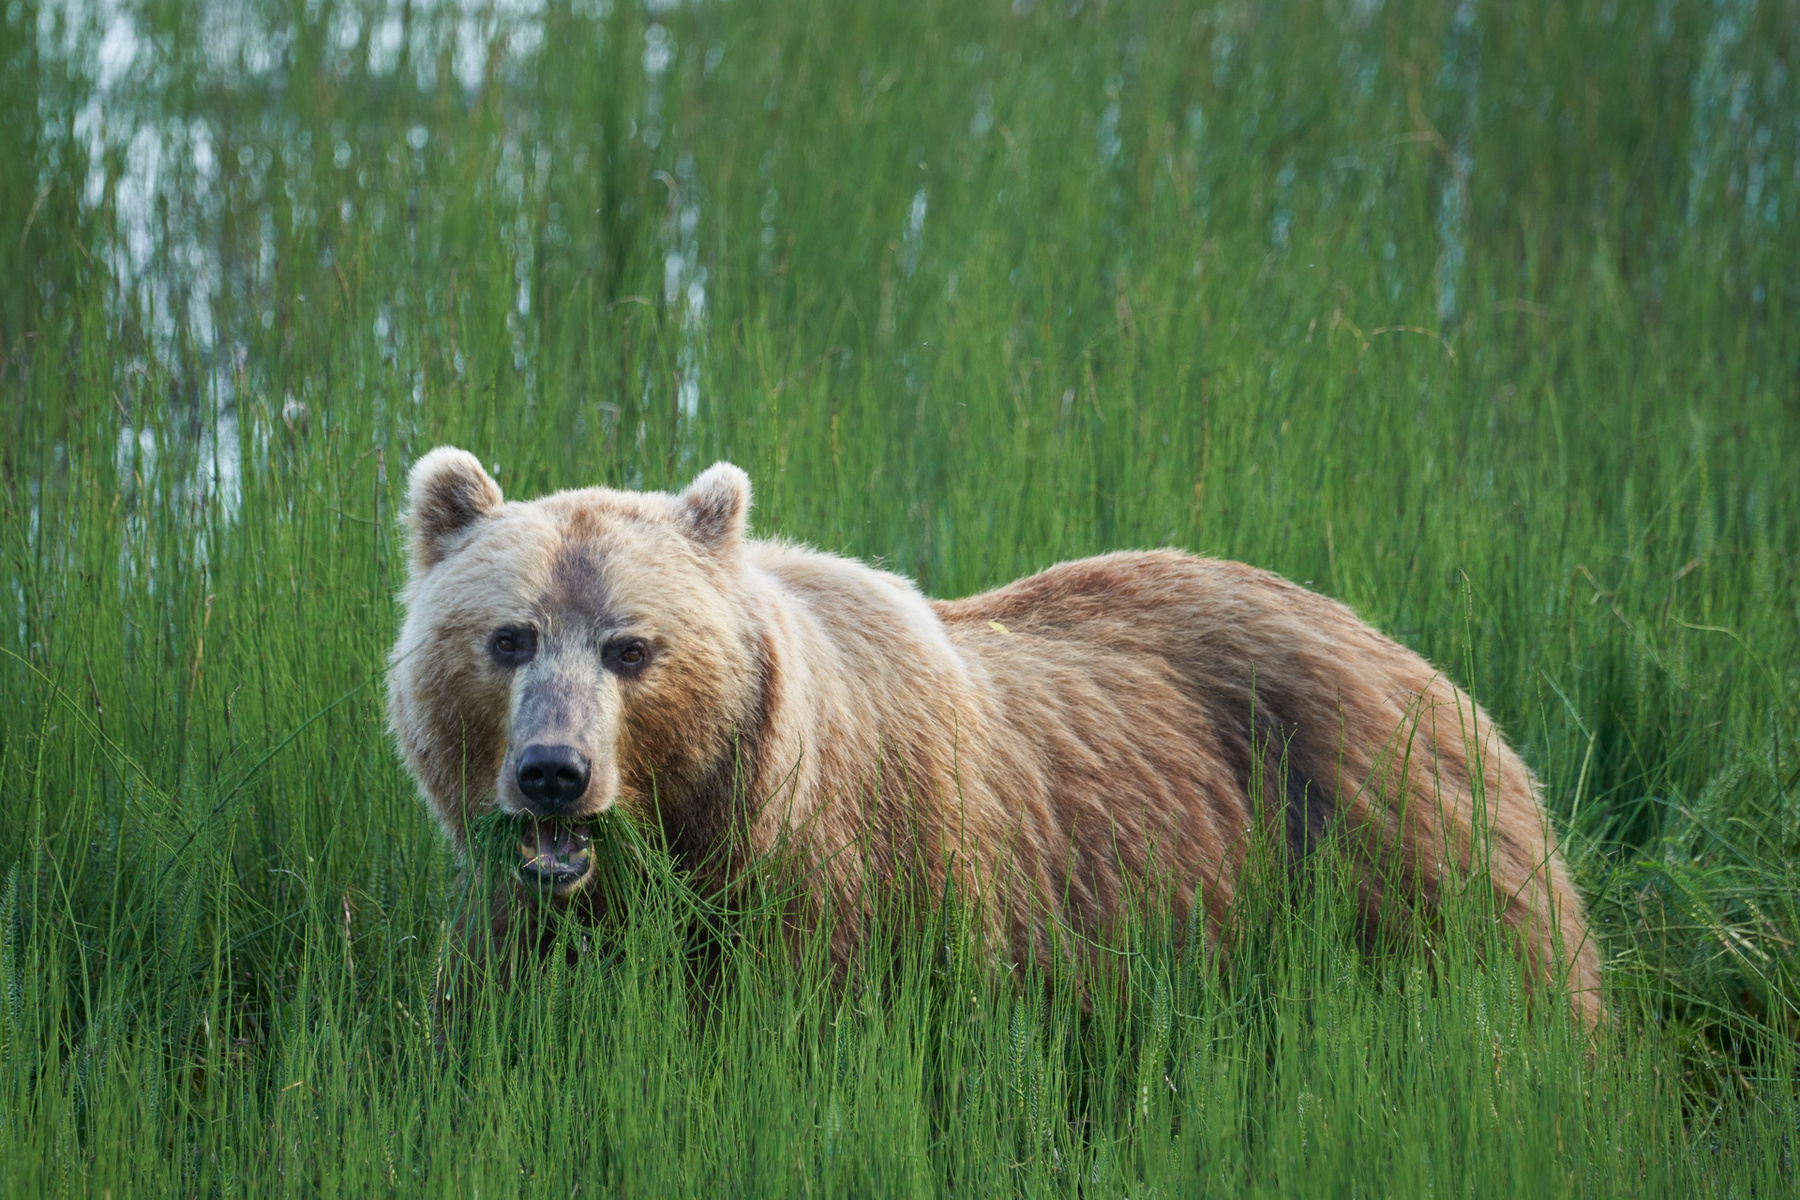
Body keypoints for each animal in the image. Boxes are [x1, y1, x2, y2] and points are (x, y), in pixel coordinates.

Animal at [386, 447, 1602, 1028]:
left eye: (631, 647)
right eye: (509, 637)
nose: (555, 772)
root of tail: (1413, 658)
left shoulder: (858, 893)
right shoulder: (526, 929)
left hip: (1387, 845)